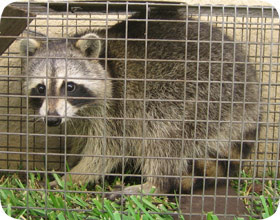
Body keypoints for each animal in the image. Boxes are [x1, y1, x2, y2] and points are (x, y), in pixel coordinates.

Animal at [19, 10, 260, 196]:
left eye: (69, 86)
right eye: (41, 88)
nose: (52, 119)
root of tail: (252, 98)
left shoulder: (116, 108)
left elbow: (105, 151)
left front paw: (75, 176)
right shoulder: (80, 116)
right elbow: (82, 138)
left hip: (202, 98)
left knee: (164, 136)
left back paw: (154, 185)